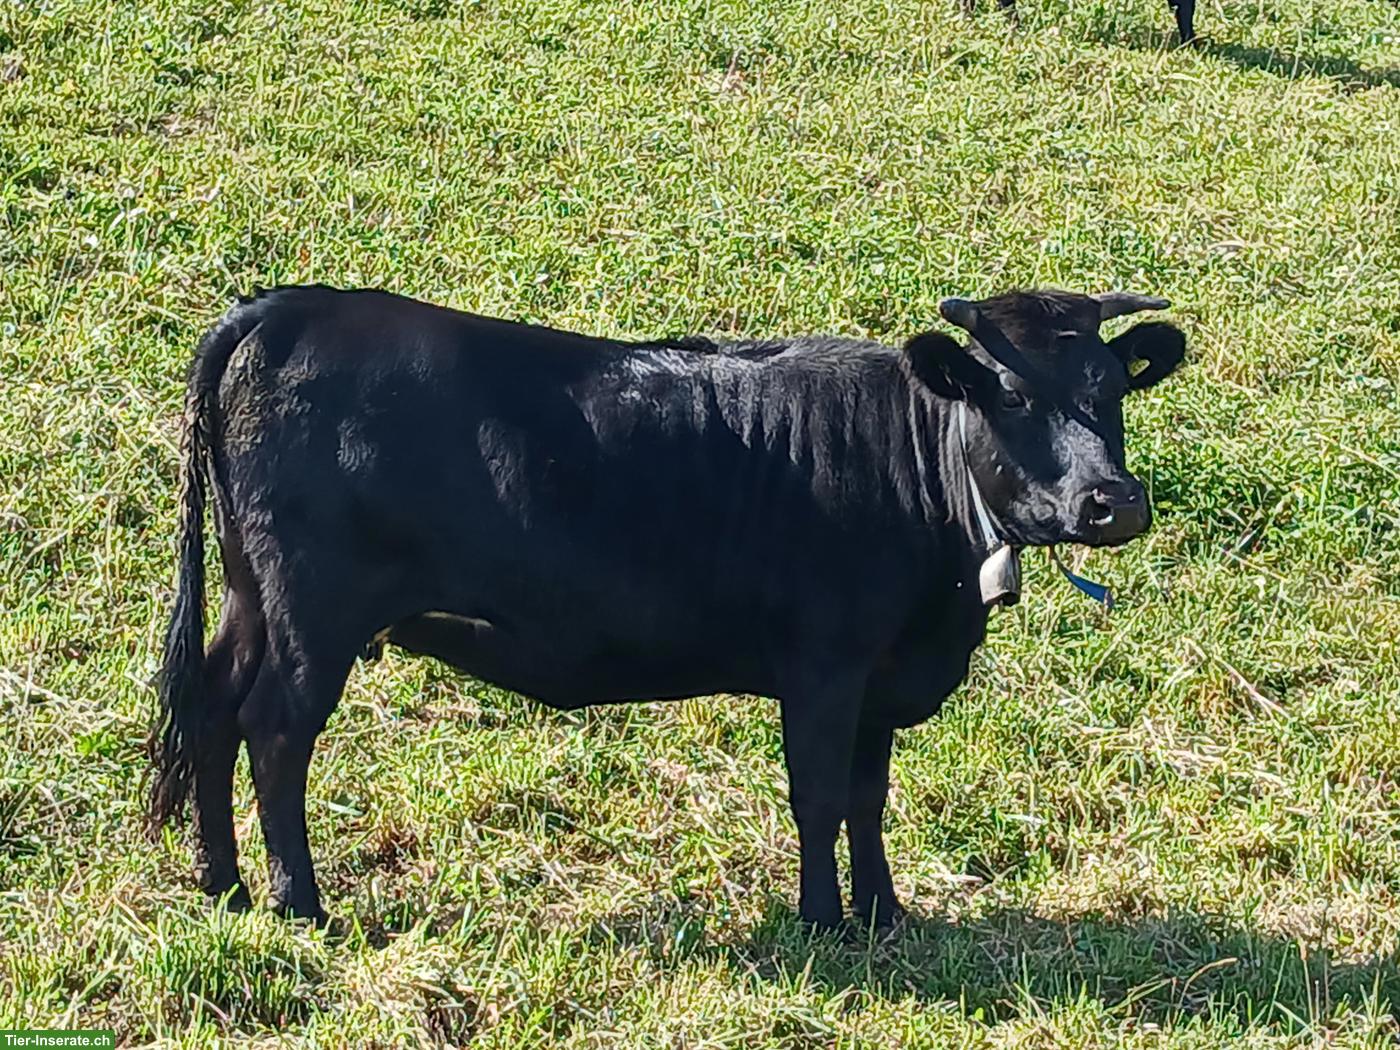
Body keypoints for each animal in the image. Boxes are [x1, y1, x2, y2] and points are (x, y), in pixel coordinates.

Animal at [148, 285, 1186, 929]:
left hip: (251, 600)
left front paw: (885, 915)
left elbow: (867, 797)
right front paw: (822, 921)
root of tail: (290, 305)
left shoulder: (881, 678)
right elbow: (818, 795)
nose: (1113, 500)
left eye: (1109, 388)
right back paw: (300, 902)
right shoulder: (825, 664)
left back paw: (222, 884)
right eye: (1009, 392)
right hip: (313, 614)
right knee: (275, 730)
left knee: (210, 711)